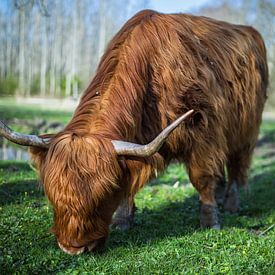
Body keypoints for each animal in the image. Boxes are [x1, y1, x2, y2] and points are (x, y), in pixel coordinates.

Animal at [0, 10, 268, 256]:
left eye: (104, 194)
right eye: (52, 193)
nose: (73, 248)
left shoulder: (204, 132)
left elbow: (202, 178)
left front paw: (210, 222)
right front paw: (122, 220)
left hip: (246, 131)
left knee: (237, 166)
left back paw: (231, 204)